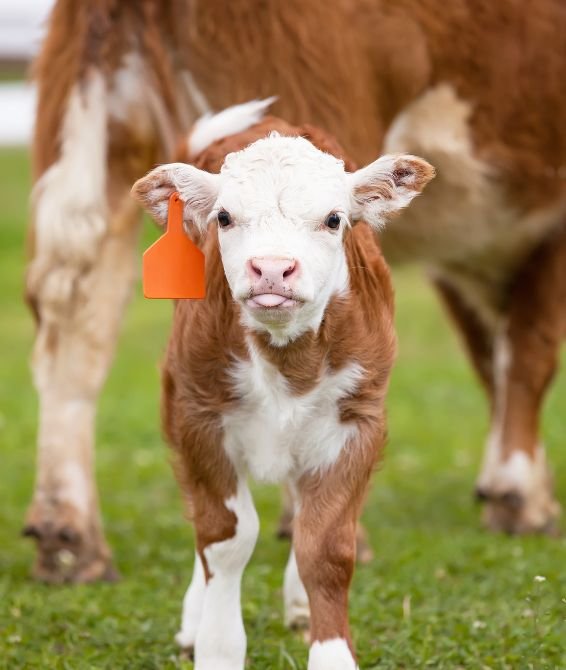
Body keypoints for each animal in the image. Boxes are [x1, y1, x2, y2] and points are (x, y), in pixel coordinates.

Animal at [131, 102, 434, 670]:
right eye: (224, 217)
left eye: (334, 219)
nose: (272, 269)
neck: (285, 360)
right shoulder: (198, 414)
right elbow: (223, 538)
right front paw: (216, 647)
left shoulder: (358, 420)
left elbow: (326, 545)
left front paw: (331, 652)